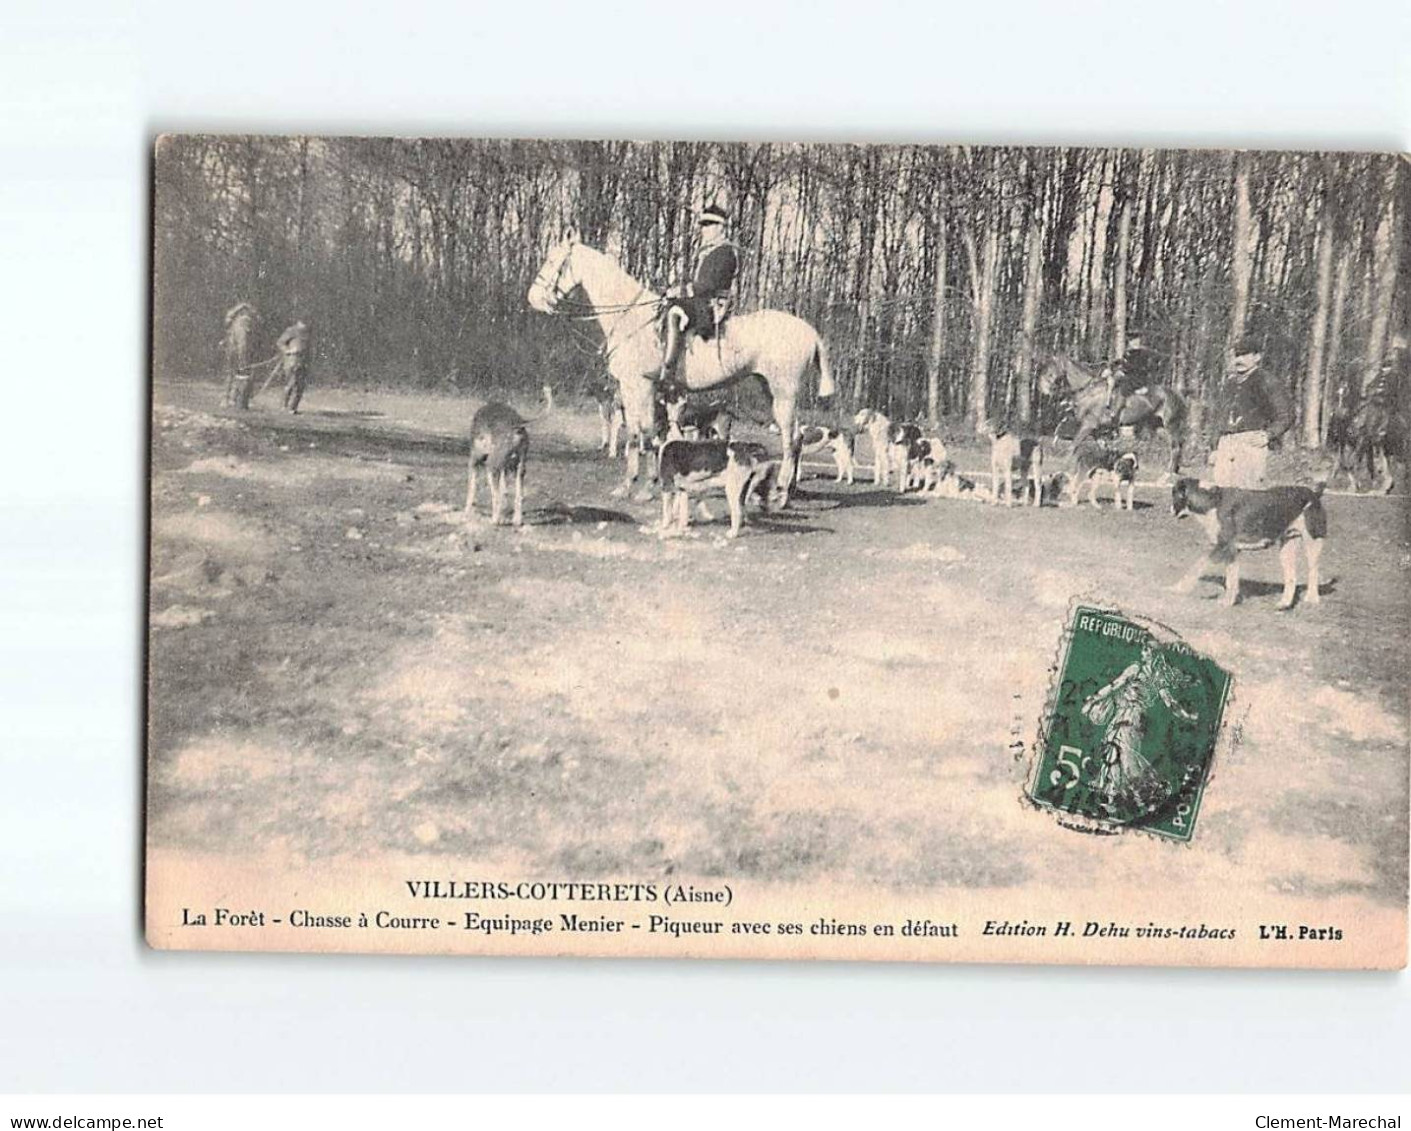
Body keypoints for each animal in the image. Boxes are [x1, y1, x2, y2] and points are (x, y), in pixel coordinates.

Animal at [530, 232, 835, 499]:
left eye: (552, 260)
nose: (533, 299)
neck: (630, 317)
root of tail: (810, 330)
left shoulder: (640, 385)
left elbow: (645, 434)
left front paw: (645, 486)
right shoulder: (638, 389)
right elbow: (638, 434)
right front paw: (629, 485)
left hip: (785, 393)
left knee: (791, 440)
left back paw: (782, 491)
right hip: (770, 390)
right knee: (796, 437)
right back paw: (790, 489)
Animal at [1038, 352, 1190, 476]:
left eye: (1051, 369)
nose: (1043, 390)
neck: (1089, 390)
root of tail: (1176, 394)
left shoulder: (1088, 426)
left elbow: (1073, 446)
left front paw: (1066, 468)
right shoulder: (1097, 431)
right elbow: (1105, 450)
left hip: (1171, 426)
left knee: (1176, 447)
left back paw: (1169, 472)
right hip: (1159, 428)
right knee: (1175, 447)